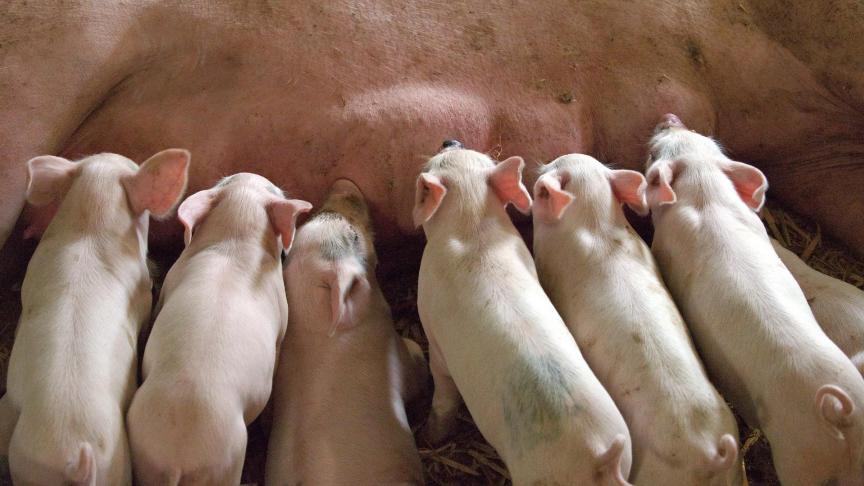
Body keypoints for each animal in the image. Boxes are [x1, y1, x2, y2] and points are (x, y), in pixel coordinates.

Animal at [125, 173, 311, 485]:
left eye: (224, 181)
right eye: (272, 189)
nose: (252, 173)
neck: (236, 239)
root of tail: (177, 459)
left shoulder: (170, 283)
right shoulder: (282, 321)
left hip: (144, 455)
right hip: (226, 463)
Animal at [413, 145, 633, 485]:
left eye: (430, 170)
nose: (450, 140)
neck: (471, 227)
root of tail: (600, 458)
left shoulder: (433, 332)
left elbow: (443, 387)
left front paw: (430, 434)